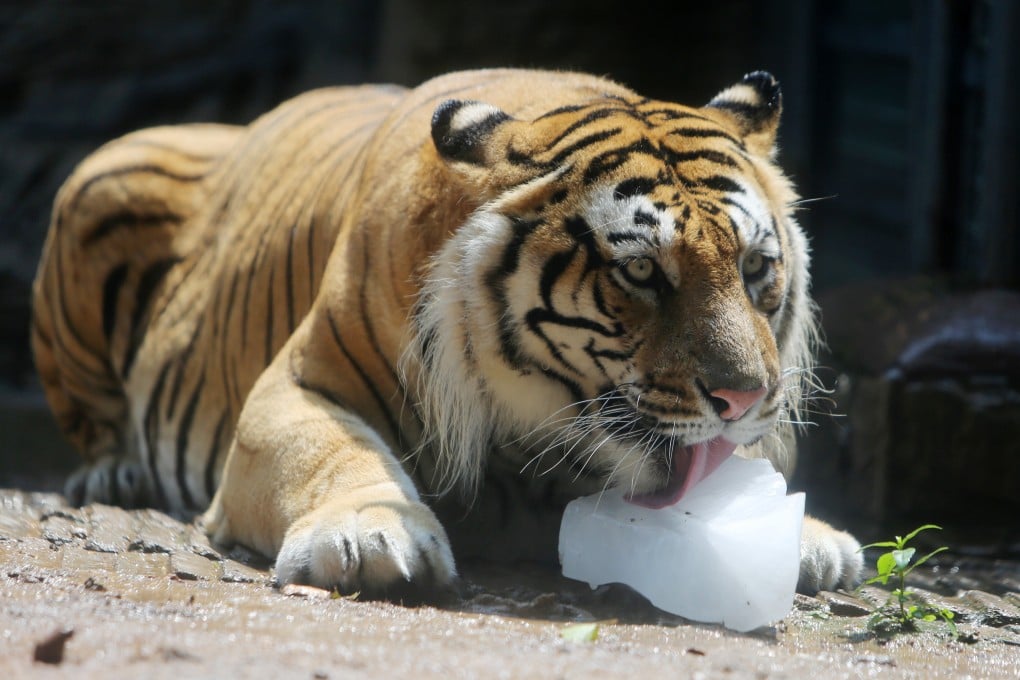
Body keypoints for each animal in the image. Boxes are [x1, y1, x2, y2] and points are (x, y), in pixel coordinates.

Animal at [31, 68, 861, 598]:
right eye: (641, 273)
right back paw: (114, 475)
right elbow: (329, 454)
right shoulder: (297, 385)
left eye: (755, 267)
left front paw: (812, 538)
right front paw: (368, 537)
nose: (744, 397)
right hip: (104, 172)